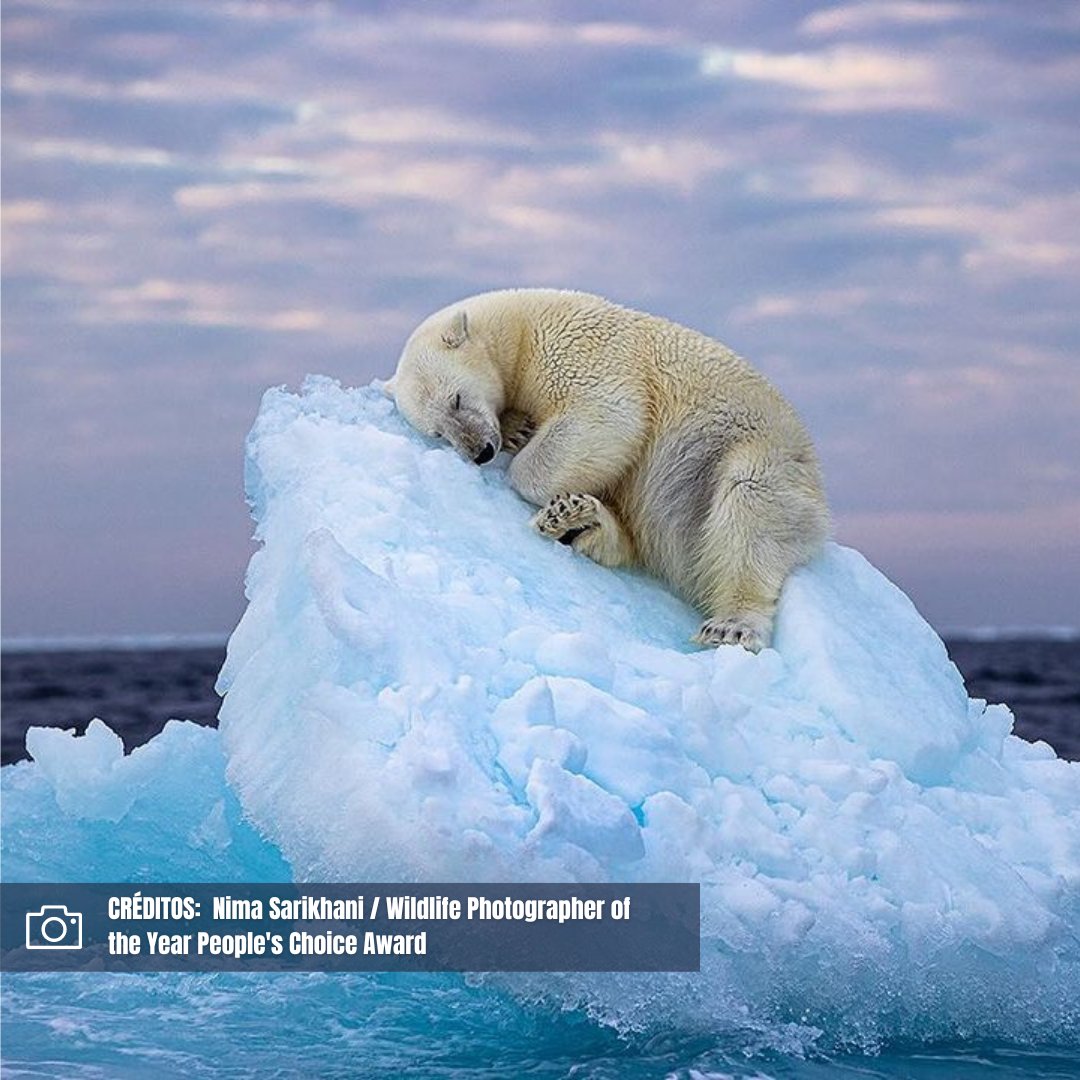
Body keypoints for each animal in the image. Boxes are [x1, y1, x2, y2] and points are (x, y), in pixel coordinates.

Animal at [388, 288, 829, 652]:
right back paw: (577, 520)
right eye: (438, 432)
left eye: (457, 399)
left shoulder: (579, 350)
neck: (520, 328)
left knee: (749, 509)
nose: (480, 451)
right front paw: (518, 429)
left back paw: (731, 625)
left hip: (750, 453)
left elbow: (608, 415)